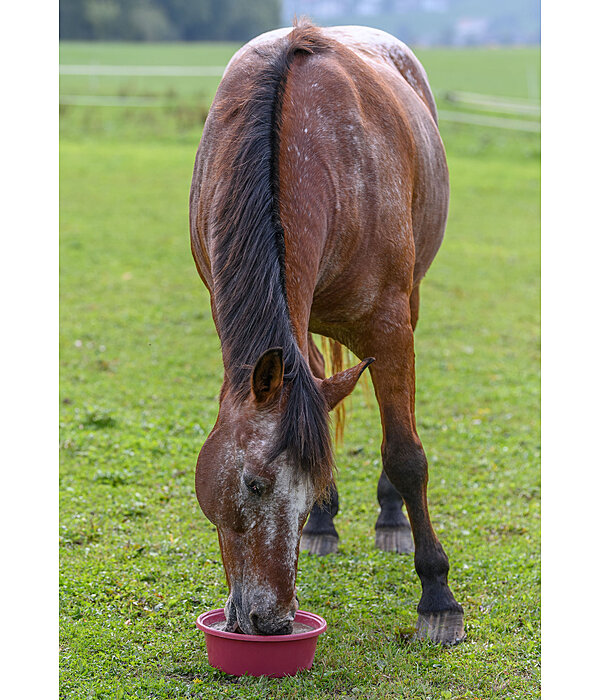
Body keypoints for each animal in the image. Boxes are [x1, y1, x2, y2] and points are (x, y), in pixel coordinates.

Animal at [190, 19, 466, 644]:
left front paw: (438, 598)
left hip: (407, 304)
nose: (270, 622)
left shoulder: (389, 328)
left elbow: (406, 454)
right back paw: (323, 527)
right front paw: (321, 518)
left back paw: (390, 517)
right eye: (255, 484)